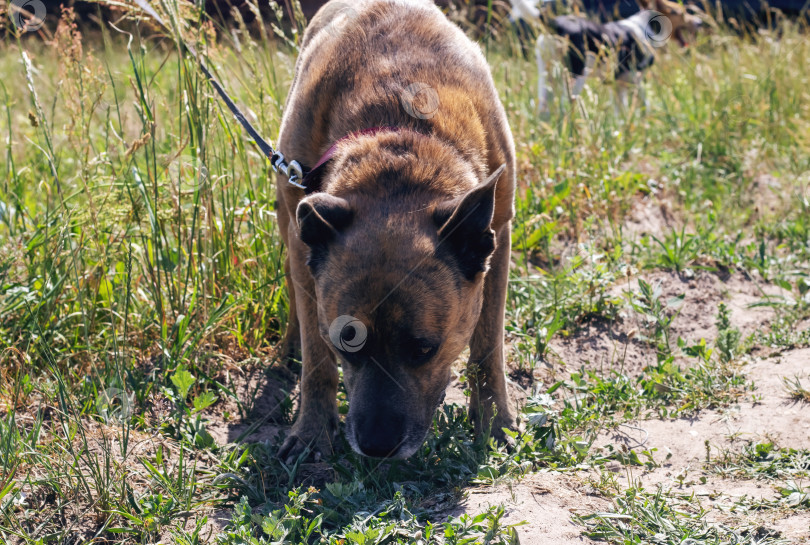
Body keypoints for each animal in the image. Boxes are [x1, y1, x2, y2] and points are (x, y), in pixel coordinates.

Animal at [278, 0, 516, 464]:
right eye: (345, 345)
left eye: (425, 349)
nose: (377, 448)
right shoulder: (301, 240)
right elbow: (316, 355)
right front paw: (312, 429)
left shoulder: (500, 236)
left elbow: (487, 349)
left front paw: (494, 423)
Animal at [512, 0, 700, 111]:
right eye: (680, 12)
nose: (699, 22)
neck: (645, 25)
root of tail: (554, 23)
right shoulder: (636, 80)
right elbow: (644, 107)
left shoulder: (617, 85)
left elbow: (621, 112)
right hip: (576, 76)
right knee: (566, 105)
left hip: (547, 75)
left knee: (543, 108)